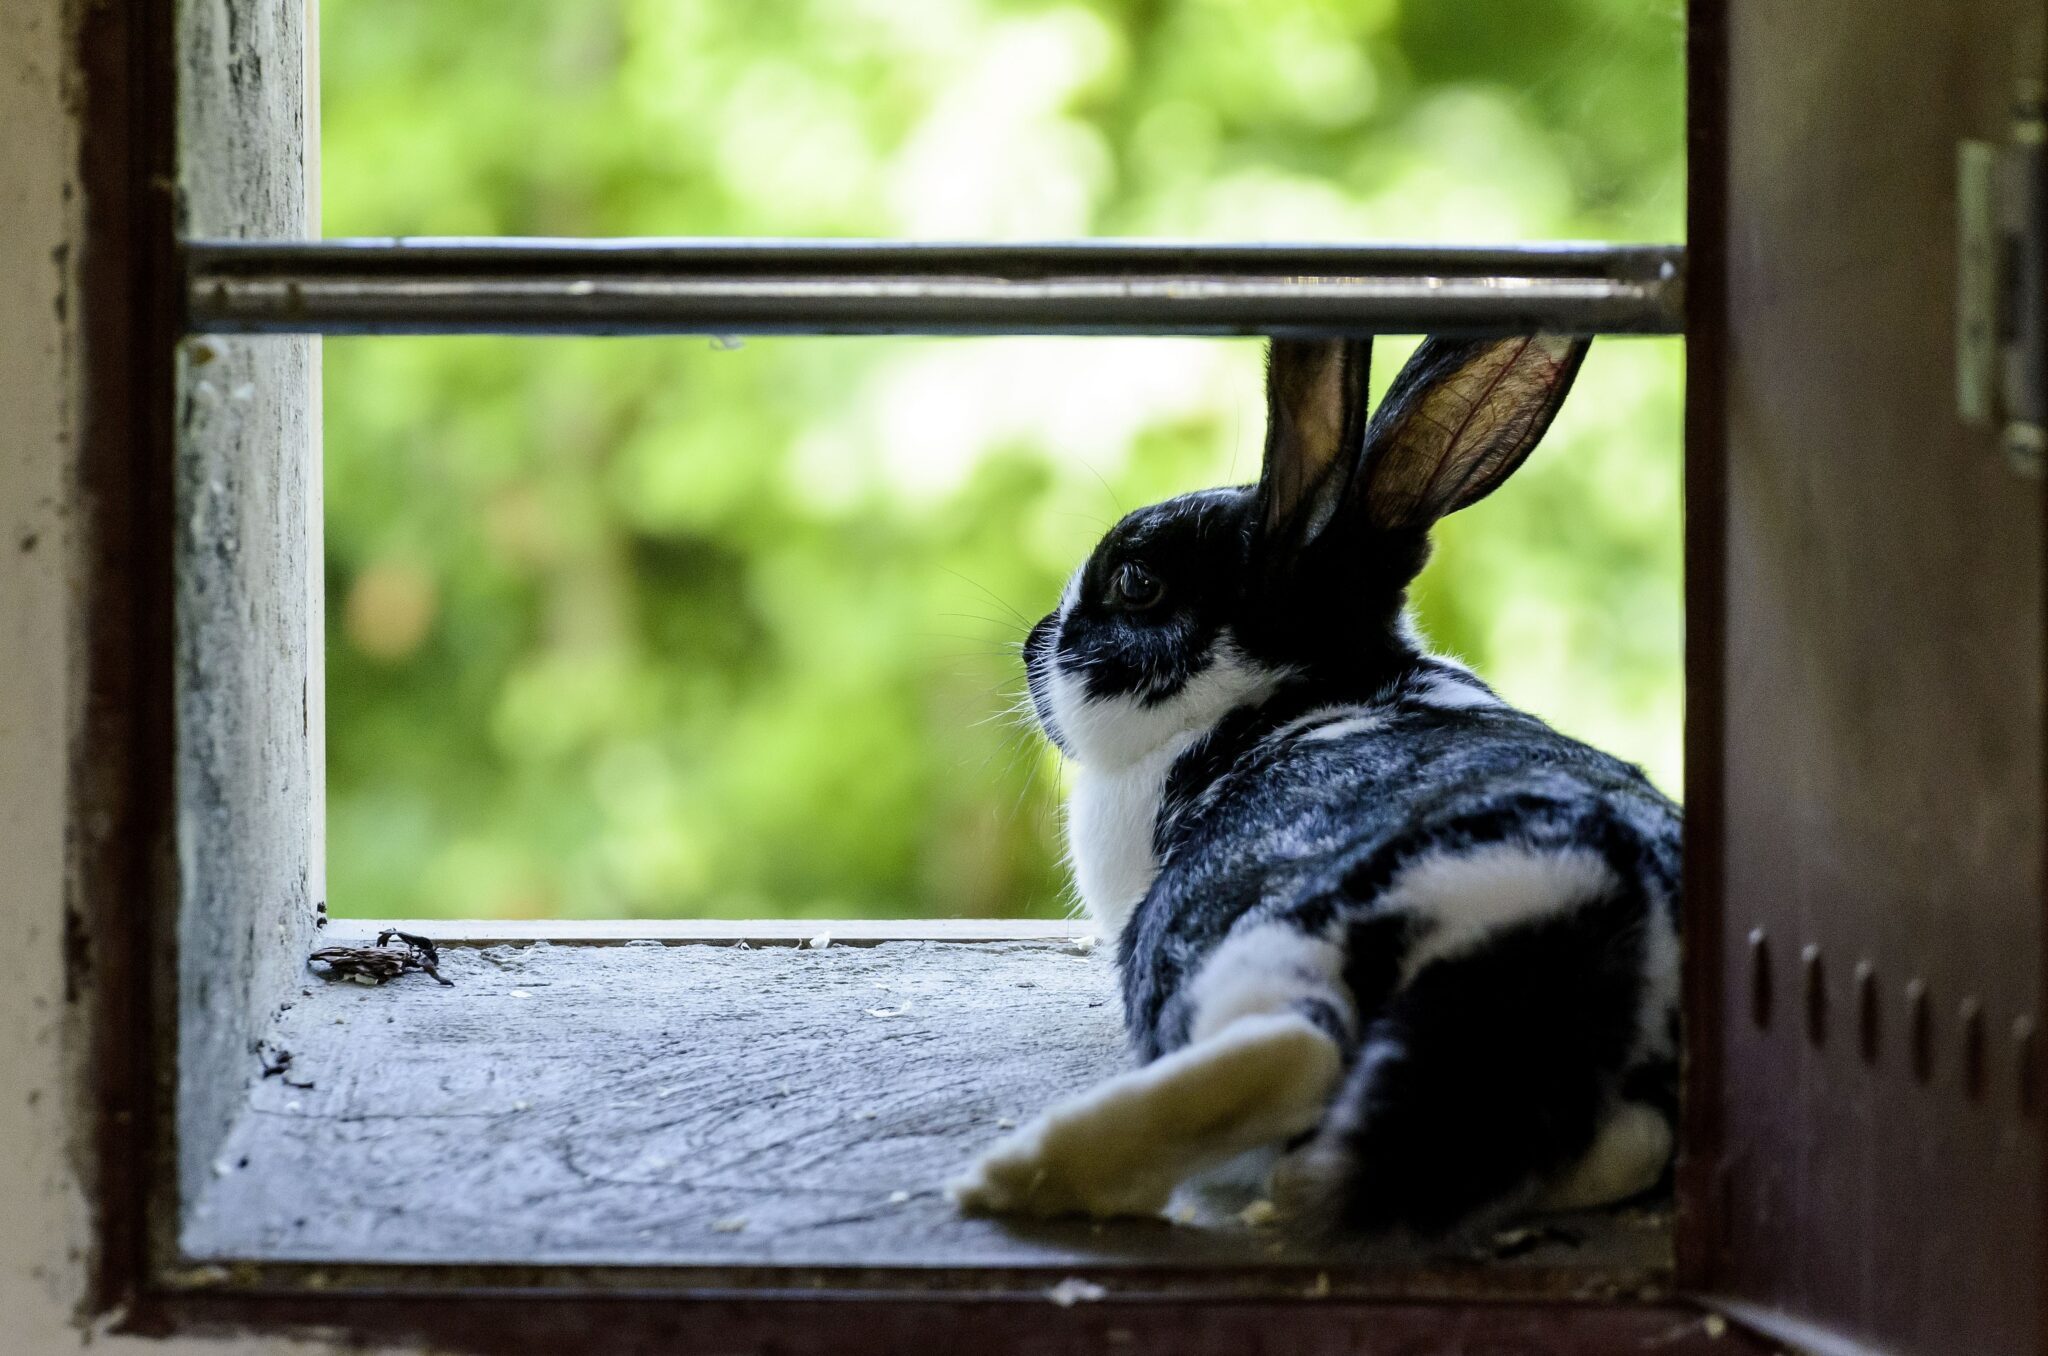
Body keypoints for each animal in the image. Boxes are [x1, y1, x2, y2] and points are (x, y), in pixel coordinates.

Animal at [942, 333, 1679, 1237]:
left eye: (1136, 584)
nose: (1033, 646)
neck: (1297, 690)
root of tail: (1601, 897)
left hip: (1267, 939)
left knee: (1294, 1053)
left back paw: (1021, 1178)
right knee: (1627, 1145)